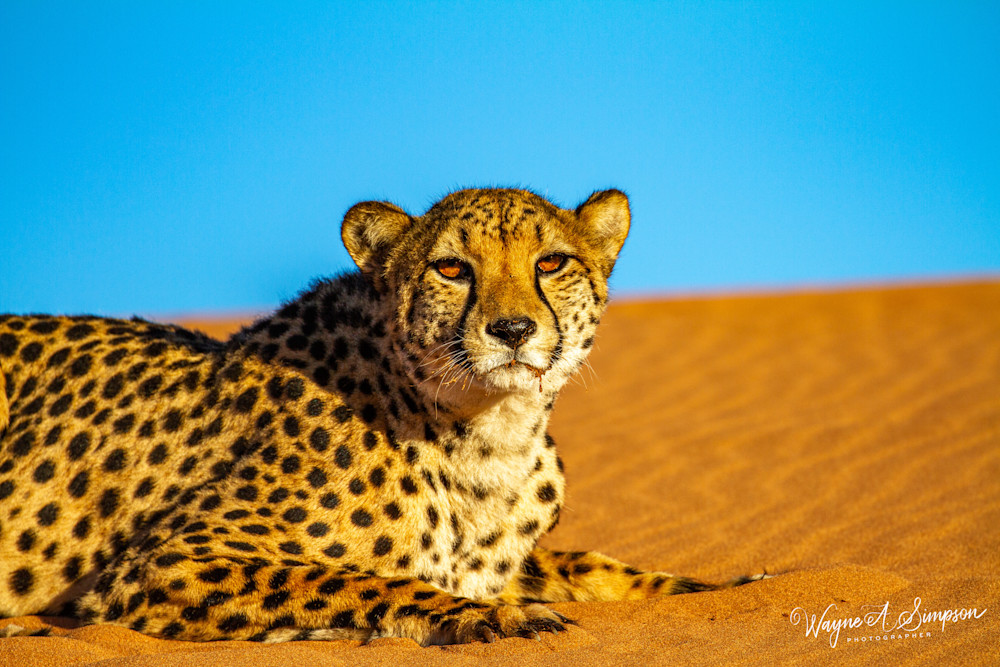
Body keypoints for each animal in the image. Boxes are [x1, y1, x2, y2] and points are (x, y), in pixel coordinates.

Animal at [0, 187, 759, 645]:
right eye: (451, 268)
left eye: (552, 262)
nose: (513, 329)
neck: (488, 435)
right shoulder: (169, 561)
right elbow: (354, 577)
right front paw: (491, 616)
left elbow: (589, 563)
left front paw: (723, 585)